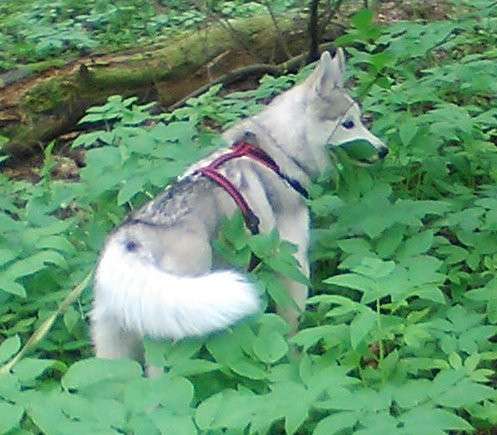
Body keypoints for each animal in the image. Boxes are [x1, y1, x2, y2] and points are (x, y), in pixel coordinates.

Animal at [93, 48, 388, 362]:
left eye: (361, 119)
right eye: (348, 124)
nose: (384, 150)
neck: (277, 150)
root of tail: (131, 240)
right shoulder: (292, 261)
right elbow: (292, 326)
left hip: (116, 342)